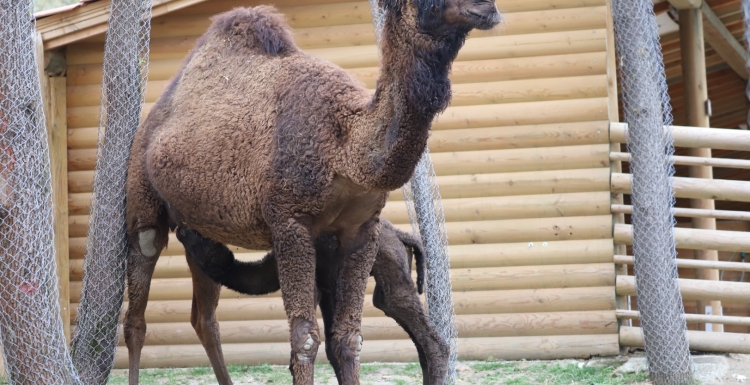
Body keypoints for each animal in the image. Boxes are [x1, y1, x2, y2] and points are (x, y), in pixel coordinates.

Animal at [176, 219, 446, 384]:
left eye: (201, 238)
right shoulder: (328, 287)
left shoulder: (316, 284)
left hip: (391, 267)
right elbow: (333, 349)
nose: (181, 228)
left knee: (429, 338)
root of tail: (403, 235)